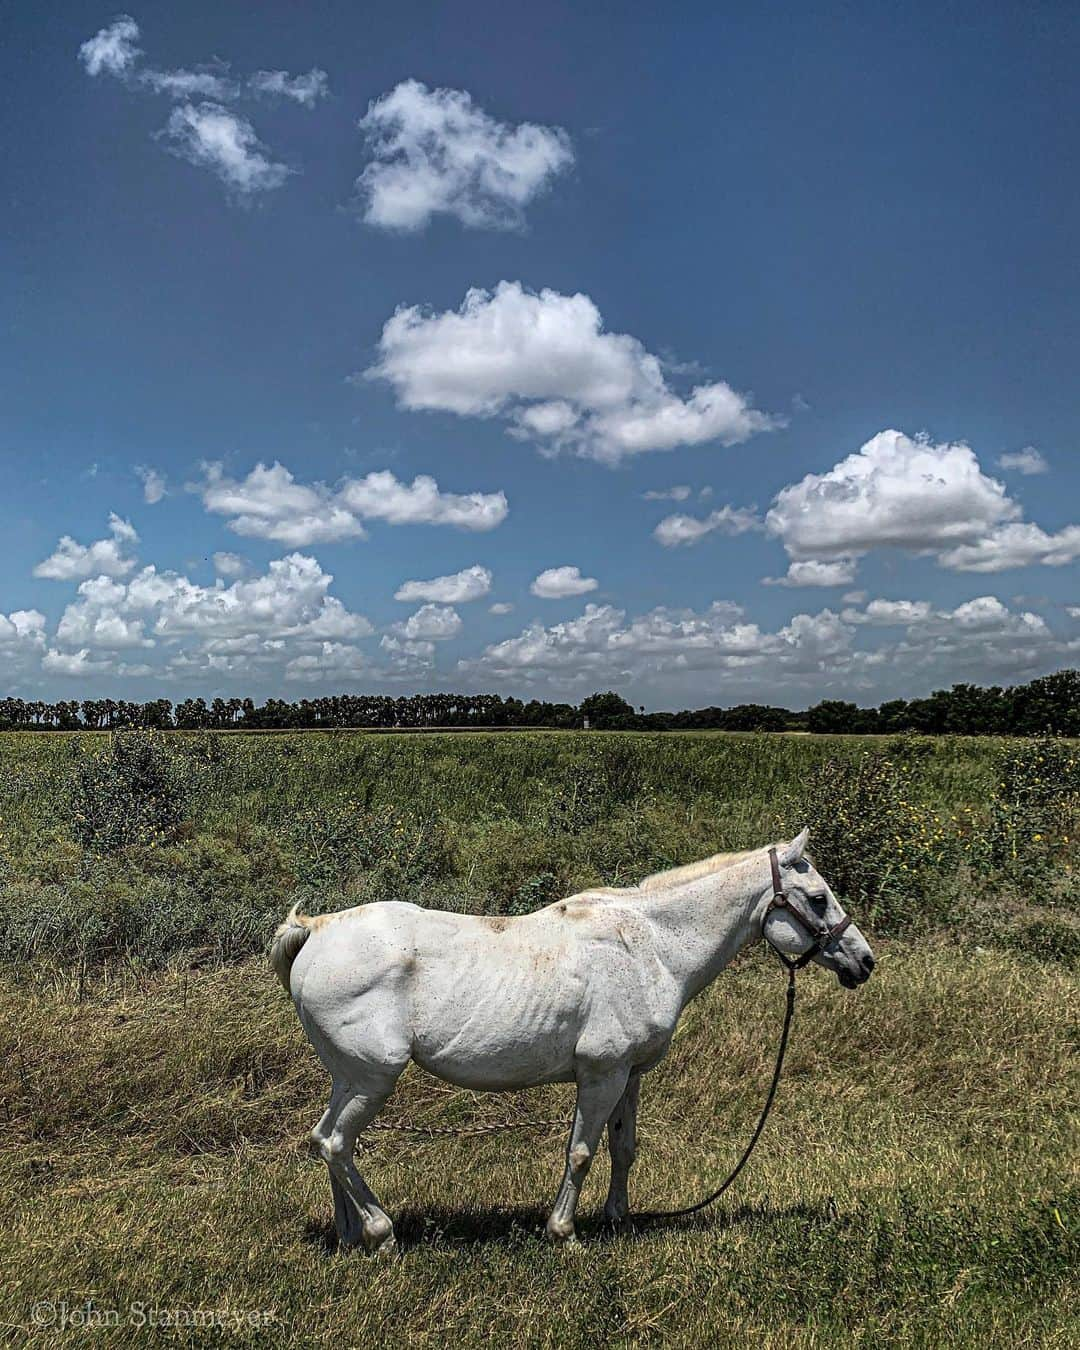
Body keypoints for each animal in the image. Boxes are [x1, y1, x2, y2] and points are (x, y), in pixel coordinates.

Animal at [270, 820, 869, 1252]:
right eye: (818, 897)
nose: (863, 961)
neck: (650, 946)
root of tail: (316, 931)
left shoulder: (629, 1074)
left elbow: (624, 1148)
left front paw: (618, 1220)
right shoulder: (601, 1073)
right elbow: (581, 1151)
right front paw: (564, 1233)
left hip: (350, 1078)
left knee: (328, 1143)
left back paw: (350, 1235)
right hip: (374, 1079)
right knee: (336, 1143)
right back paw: (381, 1232)